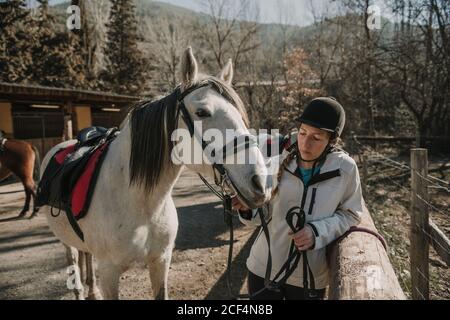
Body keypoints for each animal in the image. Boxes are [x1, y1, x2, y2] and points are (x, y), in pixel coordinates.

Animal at [39, 47, 270, 300]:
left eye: (240, 113)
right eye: (202, 112)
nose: (260, 182)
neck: (140, 201)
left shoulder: (161, 261)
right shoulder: (109, 273)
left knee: (86, 256)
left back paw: (92, 290)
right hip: (66, 243)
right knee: (74, 260)